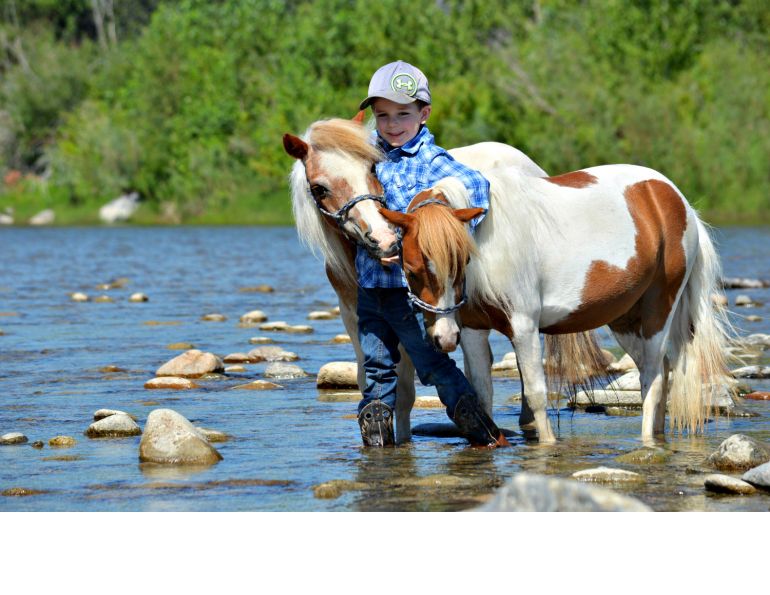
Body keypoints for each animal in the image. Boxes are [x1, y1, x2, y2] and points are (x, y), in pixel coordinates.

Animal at [379, 165, 733, 443]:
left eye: (462, 261)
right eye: (412, 270)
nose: (443, 338)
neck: (490, 243)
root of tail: (675, 199)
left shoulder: (523, 326)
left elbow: (537, 393)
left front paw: (547, 446)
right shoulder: (472, 330)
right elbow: (481, 393)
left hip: (659, 311)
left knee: (653, 379)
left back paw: (647, 440)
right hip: (626, 321)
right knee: (662, 370)